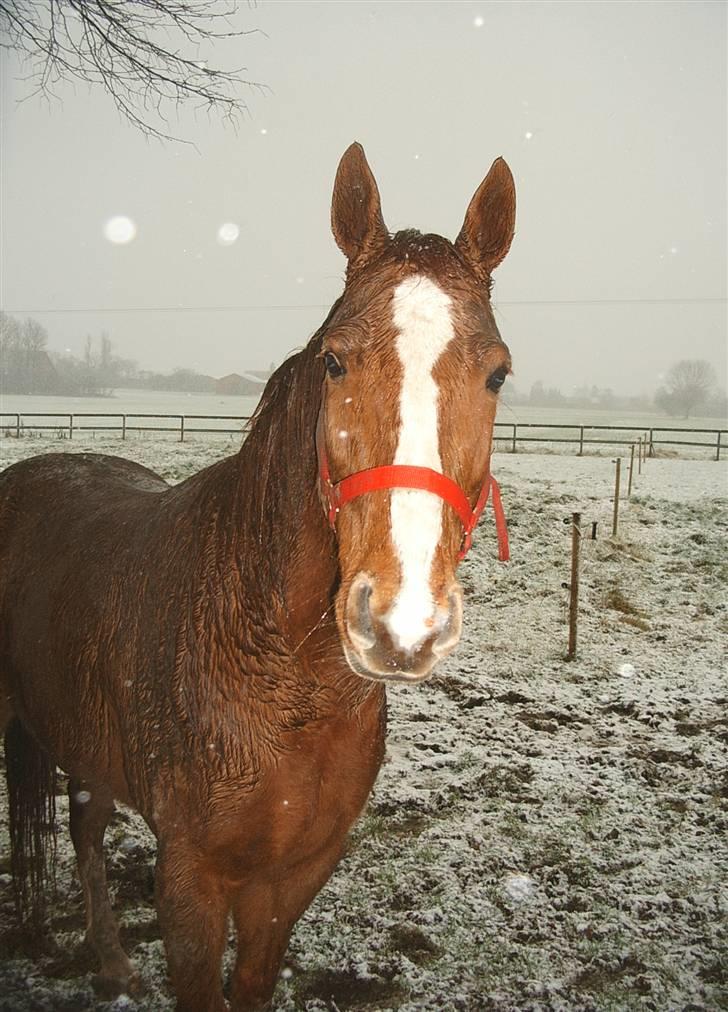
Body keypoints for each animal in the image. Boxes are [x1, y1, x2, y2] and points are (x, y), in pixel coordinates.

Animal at [0, 144, 516, 1011]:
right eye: (335, 360)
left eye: (499, 376)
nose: (401, 621)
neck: (285, 683)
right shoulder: (191, 883)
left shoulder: (292, 882)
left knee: (84, 827)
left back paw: (109, 962)